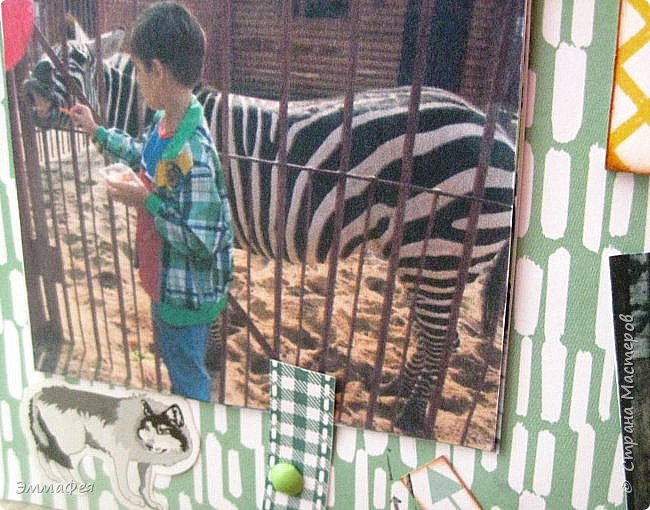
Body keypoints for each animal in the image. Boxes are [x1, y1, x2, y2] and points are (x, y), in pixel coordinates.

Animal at [21, 30, 516, 434]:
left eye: (78, 59)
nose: (28, 82)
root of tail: (496, 122)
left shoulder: (210, 225)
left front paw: (210, 358)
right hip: (429, 257)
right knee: (438, 336)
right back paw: (396, 389)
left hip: (443, 248)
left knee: (440, 339)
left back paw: (410, 416)